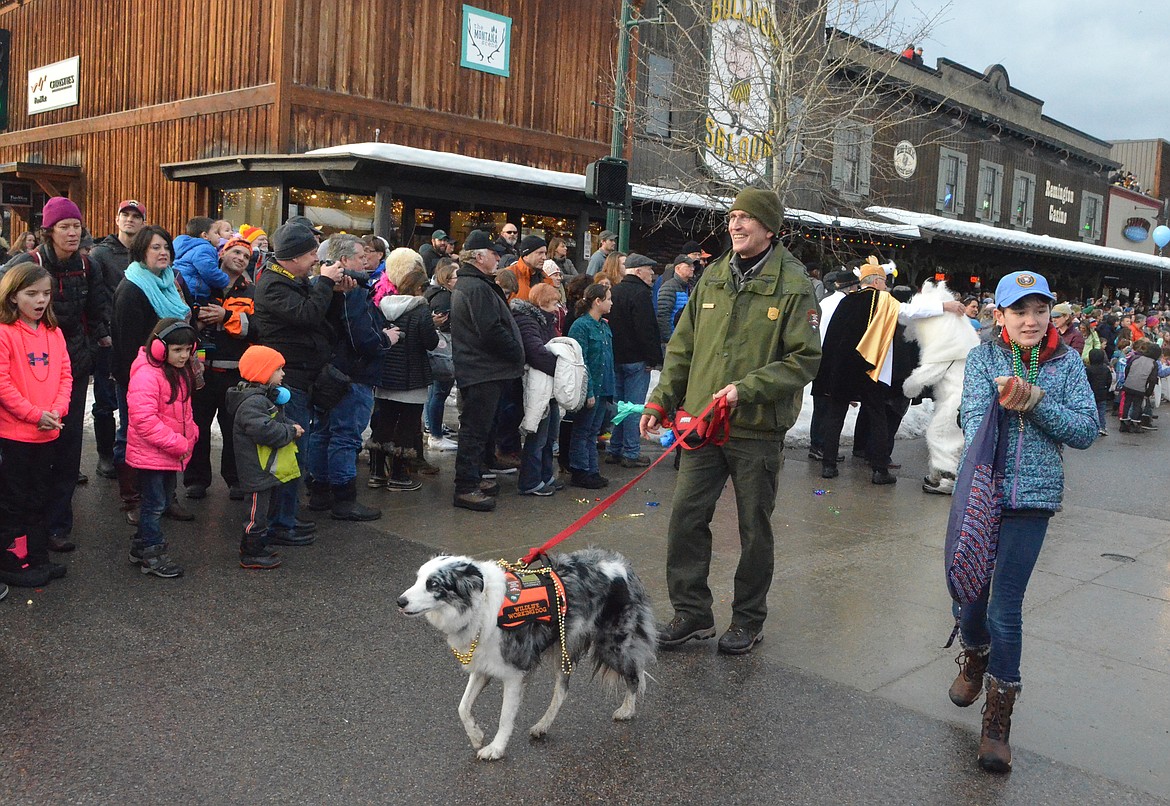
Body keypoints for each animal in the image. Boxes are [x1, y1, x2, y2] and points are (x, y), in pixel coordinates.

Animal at [400, 542, 659, 758]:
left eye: (433, 584)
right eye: (418, 579)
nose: (399, 601)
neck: (480, 605)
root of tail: (623, 565)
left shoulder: (515, 672)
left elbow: (505, 717)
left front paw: (496, 749)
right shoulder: (483, 666)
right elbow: (462, 706)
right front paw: (476, 735)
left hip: (612, 644)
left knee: (634, 676)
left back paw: (626, 710)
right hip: (563, 647)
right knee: (562, 690)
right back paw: (542, 726)